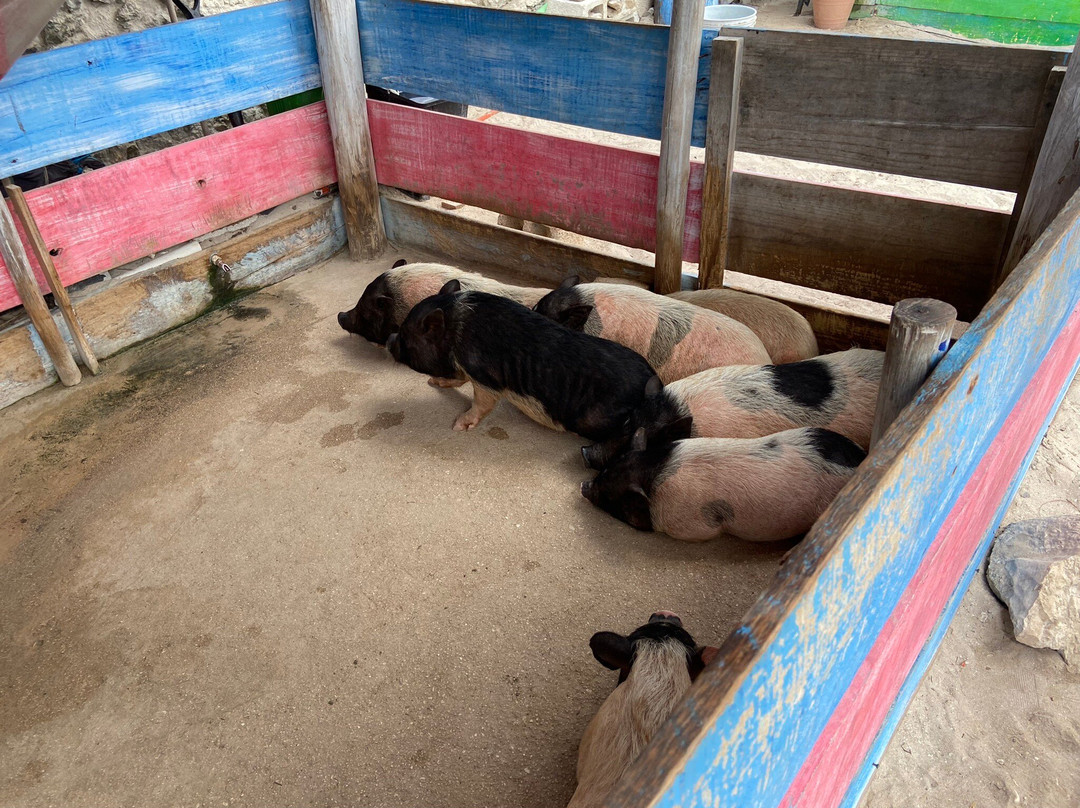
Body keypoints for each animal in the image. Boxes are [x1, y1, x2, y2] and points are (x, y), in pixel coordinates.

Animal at [386, 281, 656, 437]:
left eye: (406, 336)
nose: (389, 339)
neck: (457, 328)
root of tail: (652, 380)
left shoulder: (486, 377)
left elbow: (482, 403)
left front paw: (458, 426)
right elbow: (457, 380)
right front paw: (434, 382)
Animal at [580, 427, 865, 542]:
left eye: (609, 498)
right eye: (605, 470)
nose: (583, 486)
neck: (653, 471)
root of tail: (861, 459)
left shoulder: (693, 526)